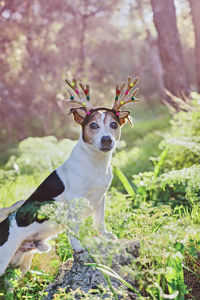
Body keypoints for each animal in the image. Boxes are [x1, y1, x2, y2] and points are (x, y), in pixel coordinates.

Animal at [0, 76, 139, 278]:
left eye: (114, 125)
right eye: (93, 125)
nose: (107, 140)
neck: (94, 163)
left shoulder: (101, 197)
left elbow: (100, 221)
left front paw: (105, 235)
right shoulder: (75, 200)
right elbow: (74, 229)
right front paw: (78, 247)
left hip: (23, 261)